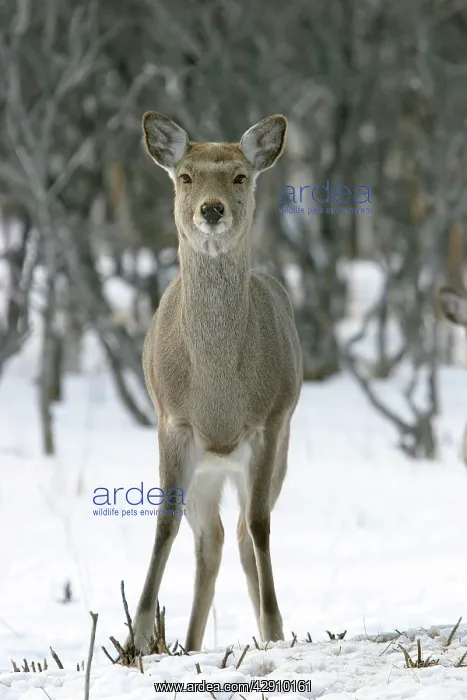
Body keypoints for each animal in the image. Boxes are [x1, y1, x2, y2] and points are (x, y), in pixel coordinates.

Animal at [126, 112, 303, 654]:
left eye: (239, 176)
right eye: (186, 176)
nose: (211, 208)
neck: (218, 392)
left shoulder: (269, 423)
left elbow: (261, 527)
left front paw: (273, 625)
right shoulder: (172, 422)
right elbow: (164, 523)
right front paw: (139, 634)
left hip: (274, 453)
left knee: (243, 532)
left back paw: (265, 628)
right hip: (203, 471)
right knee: (212, 539)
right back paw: (189, 641)